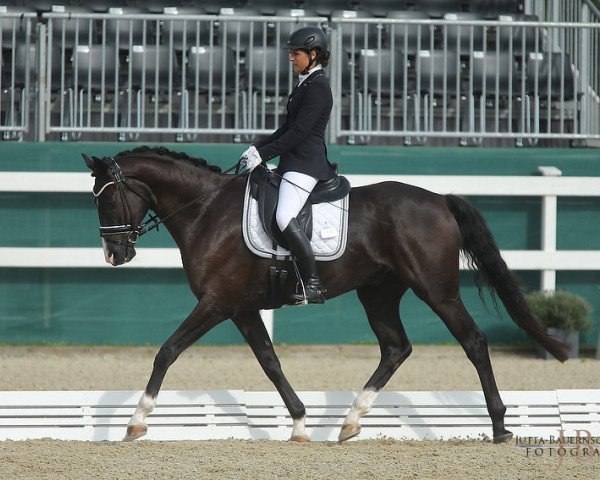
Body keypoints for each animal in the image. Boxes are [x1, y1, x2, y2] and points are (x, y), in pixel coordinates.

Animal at [83, 145, 568, 442]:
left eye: (105, 201)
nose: (115, 254)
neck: (206, 211)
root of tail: (438, 199)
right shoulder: (240, 308)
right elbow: (270, 363)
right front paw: (300, 423)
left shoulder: (216, 304)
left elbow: (167, 351)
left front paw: (136, 422)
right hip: (378, 293)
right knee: (396, 348)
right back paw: (351, 420)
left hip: (437, 290)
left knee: (473, 341)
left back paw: (500, 426)